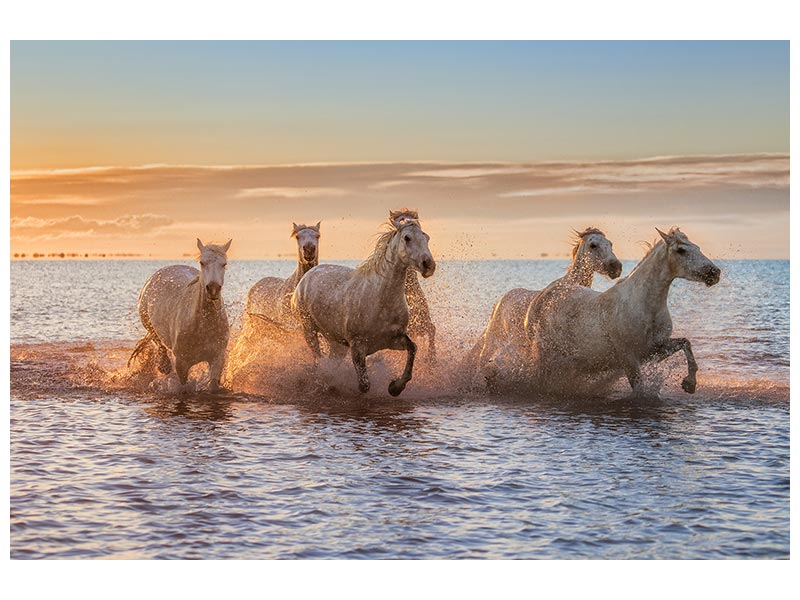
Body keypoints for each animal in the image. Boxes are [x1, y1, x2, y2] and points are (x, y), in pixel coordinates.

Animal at [126, 239, 230, 394]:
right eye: (202, 262)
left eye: (224, 264)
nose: (213, 289)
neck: (202, 326)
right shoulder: (182, 363)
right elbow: (183, 387)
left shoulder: (217, 358)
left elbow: (212, 386)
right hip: (149, 325)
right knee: (157, 341)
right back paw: (164, 366)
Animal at [290, 218, 434, 396]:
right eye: (407, 238)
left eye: (426, 237)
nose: (429, 265)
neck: (380, 299)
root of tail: (307, 276)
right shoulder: (357, 347)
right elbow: (364, 385)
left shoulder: (394, 340)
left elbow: (413, 348)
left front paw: (395, 387)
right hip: (308, 329)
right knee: (318, 357)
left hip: (336, 342)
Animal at [462, 227, 624, 372]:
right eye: (593, 245)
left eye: (610, 244)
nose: (616, 267)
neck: (567, 286)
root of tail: (500, 301)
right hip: (493, 342)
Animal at [528, 227, 720, 396]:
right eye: (681, 250)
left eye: (698, 248)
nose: (715, 272)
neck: (644, 307)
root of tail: (548, 292)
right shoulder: (629, 358)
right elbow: (639, 389)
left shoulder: (655, 349)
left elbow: (686, 343)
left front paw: (689, 384)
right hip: (547, 355)